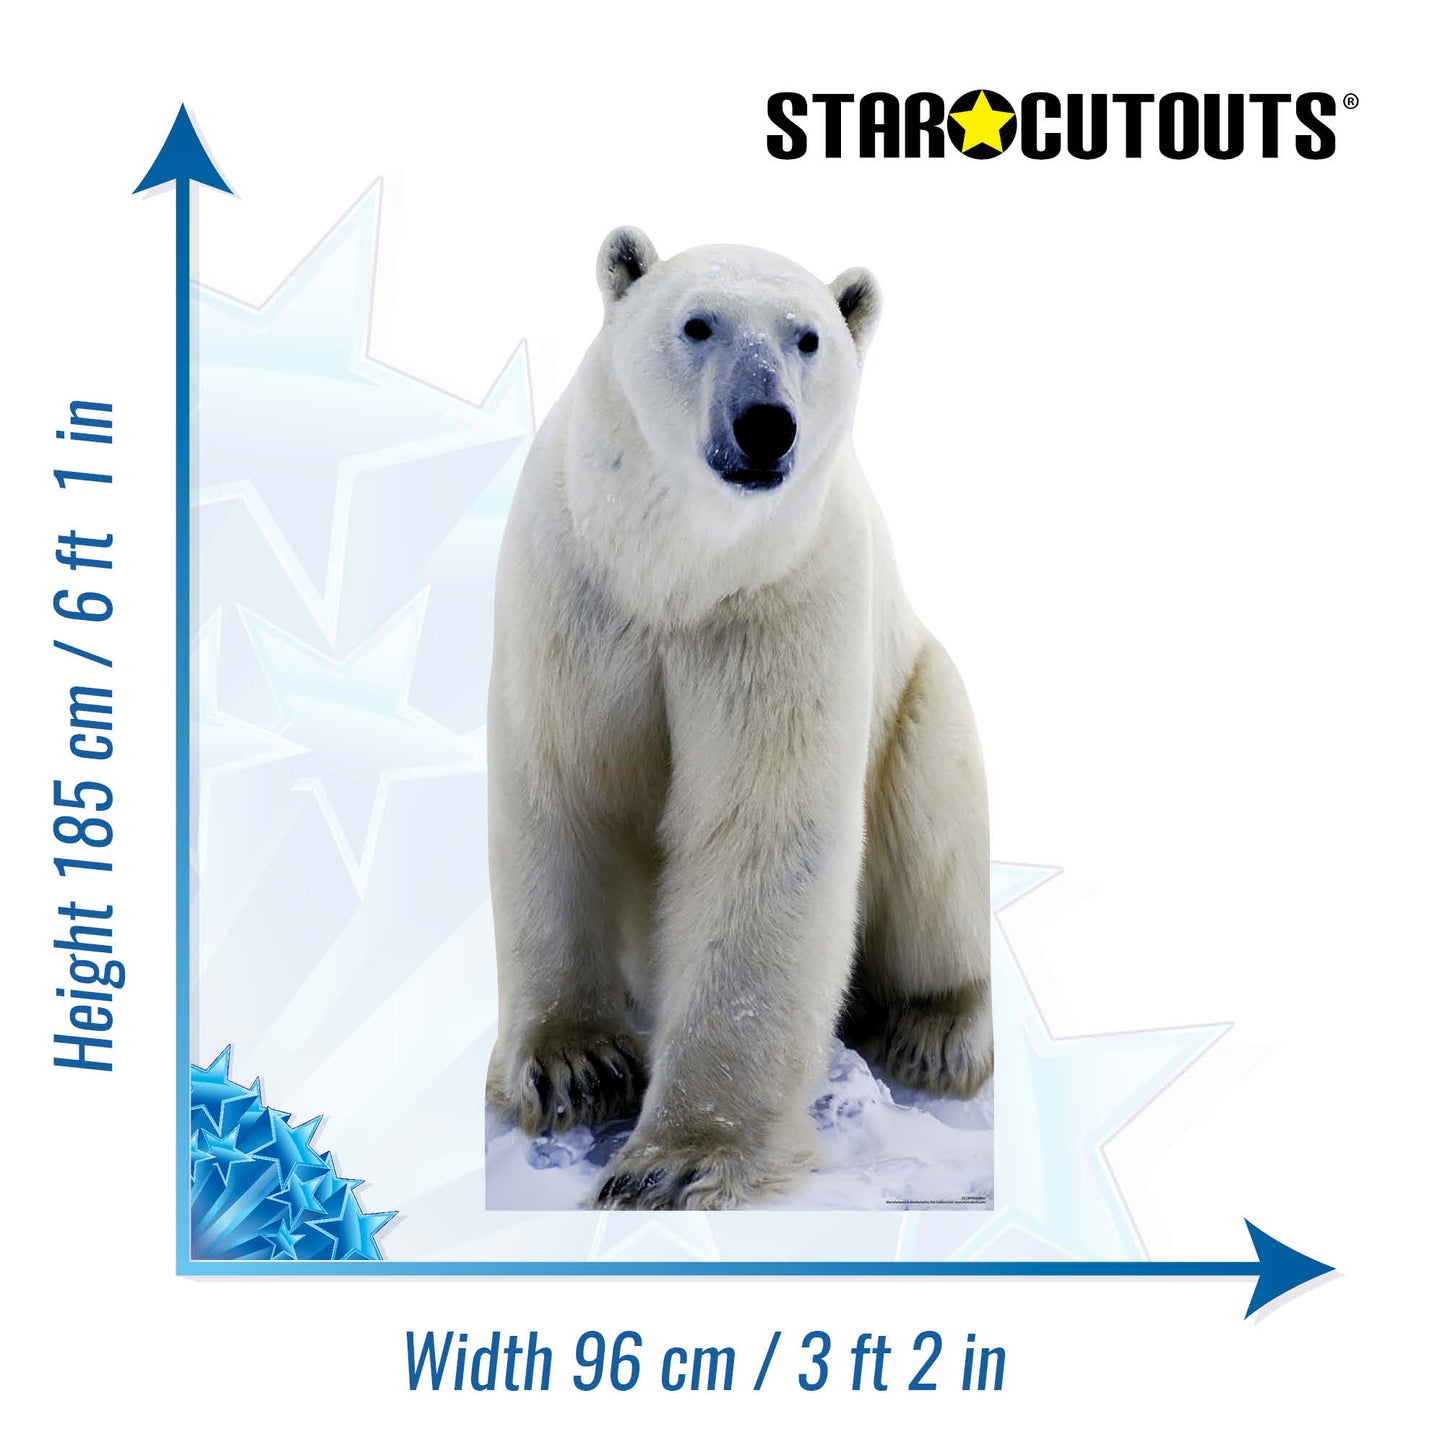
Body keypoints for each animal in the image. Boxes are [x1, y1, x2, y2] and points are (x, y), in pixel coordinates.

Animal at [485, 228, 990, 1210]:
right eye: (697, 323)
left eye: (808, 337)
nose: (764, 424)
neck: (677, 572)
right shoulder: (576, 591)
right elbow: (559, 785)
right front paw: (575, 1066)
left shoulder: (779, 604)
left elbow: (759, 832)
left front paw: (675, 1157)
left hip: (919, 702)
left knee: (937, 827)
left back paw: (934, 1029)